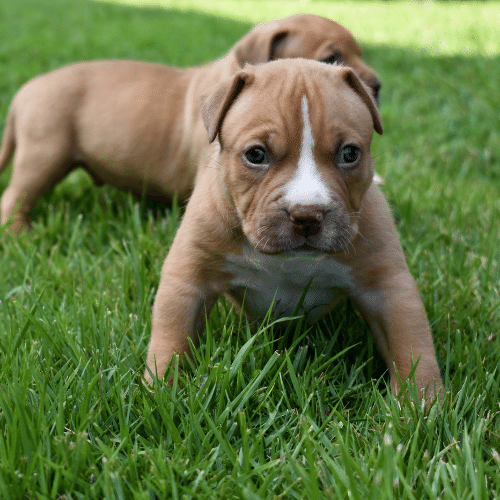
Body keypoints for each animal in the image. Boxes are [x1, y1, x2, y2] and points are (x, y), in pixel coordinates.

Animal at [0, 13, 378, 231]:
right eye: (331, 58)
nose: (376, 85)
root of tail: (25, 92)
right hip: (43, 157)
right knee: (14, 198)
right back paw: (21, 234)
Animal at [146, 57, 444, 406]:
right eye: (256, 155)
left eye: (350, 153)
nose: (306, 215)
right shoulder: (189, 278)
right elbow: (172, 337)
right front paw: (160, 392)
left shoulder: (388, 286)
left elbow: (411, 345)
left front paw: (421, 405)